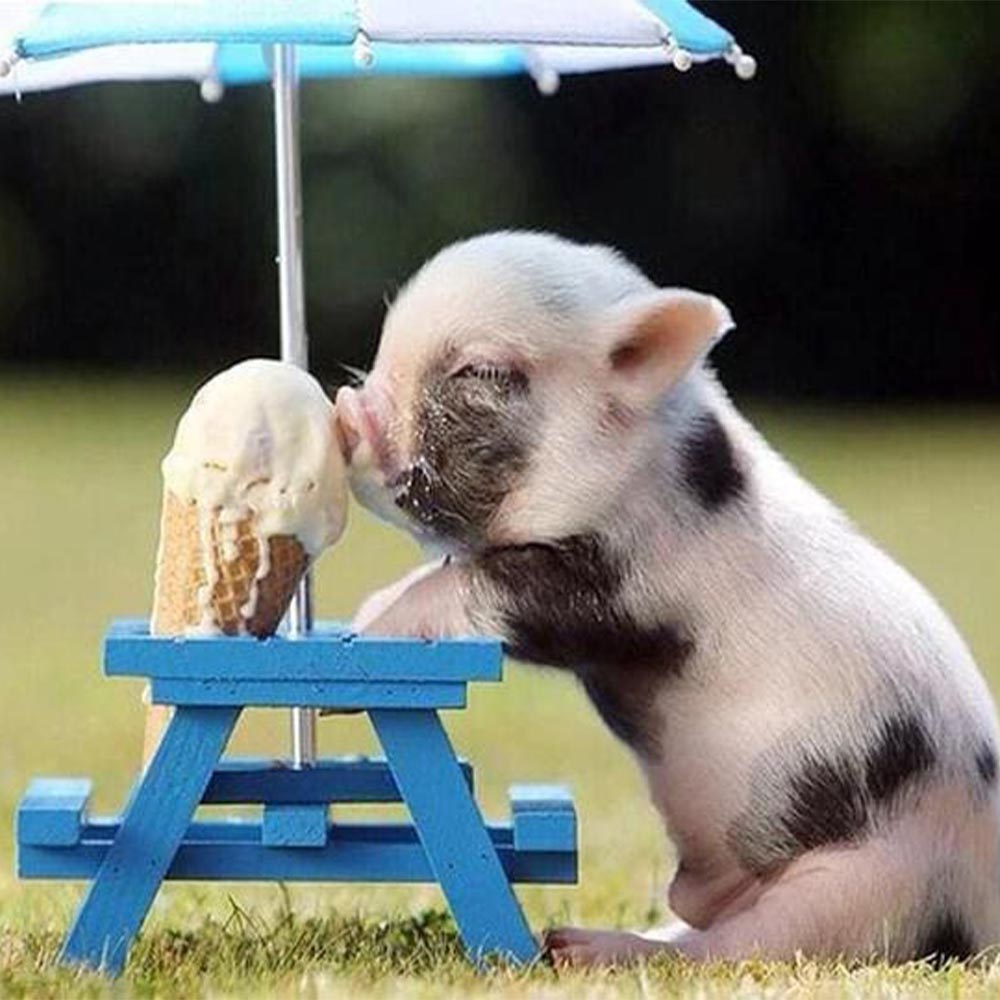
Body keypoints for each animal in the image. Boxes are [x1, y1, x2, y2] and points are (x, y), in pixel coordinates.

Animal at [334, 231, 1000, 967]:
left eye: (479, 370)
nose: (347, 409)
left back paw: (577, 949)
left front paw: (365, 630)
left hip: (870, 888)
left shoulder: (624, 584)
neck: (644, 467)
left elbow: (487, 584)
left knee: (739, 948)